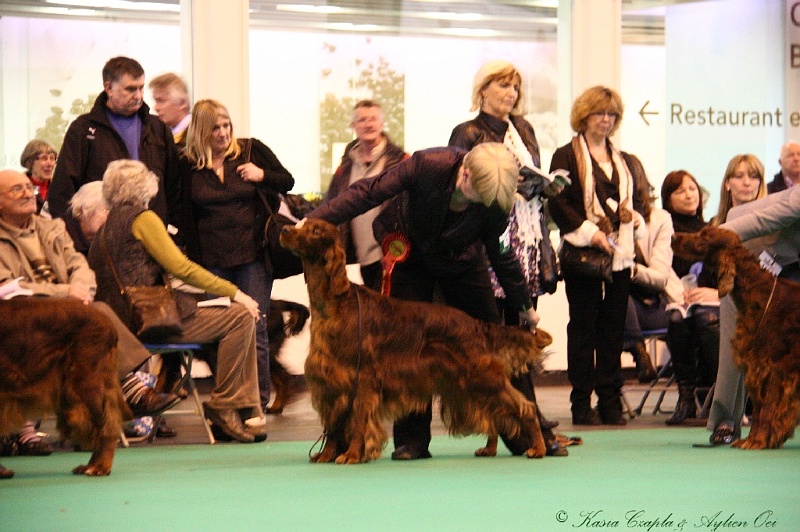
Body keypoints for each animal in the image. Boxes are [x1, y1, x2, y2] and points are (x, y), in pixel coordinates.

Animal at [280, 218, 552, 464]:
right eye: (302, 223)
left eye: (315, 230)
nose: (283, 229)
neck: (334, 304)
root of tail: (476, 324)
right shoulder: (330, 382)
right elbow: (333, 427)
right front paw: (326, 455)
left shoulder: (362, 379)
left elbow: (356, 422)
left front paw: (352, 455)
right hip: (468, 384)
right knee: (492, 414)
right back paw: (490, 448)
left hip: (483, 376)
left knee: (525, 408)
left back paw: (538, 448)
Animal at [676, 228, 800, 448]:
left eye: (702, 237)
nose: (674, 237)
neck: (758, 292)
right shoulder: (756, 366)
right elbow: (759, 410)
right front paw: (753, 439)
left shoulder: (772, 369)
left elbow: (766, 410)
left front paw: (757, 441)